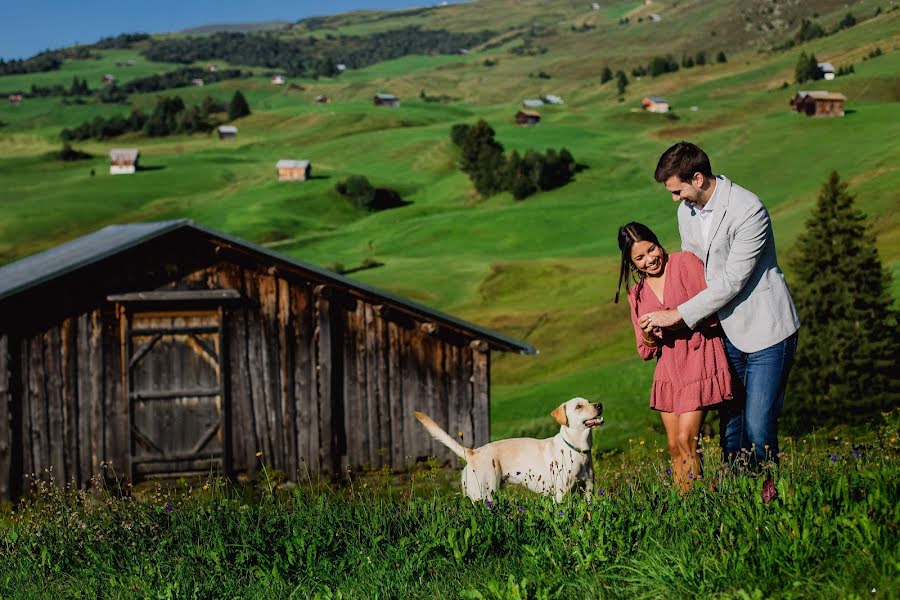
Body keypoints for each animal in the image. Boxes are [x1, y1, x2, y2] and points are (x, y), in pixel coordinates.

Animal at [414, 398, 604, 502]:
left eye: (589, 402)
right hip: (485, 494)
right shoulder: (561, 494)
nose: (600, 405)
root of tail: (472, 453)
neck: (578, 449)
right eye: (578, 406)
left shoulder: (588, 488)